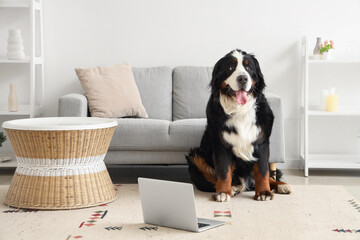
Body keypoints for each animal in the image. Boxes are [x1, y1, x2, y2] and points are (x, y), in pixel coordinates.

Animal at [187, 49, 292, 202]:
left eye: (249, 67)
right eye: (230, 68)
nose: (243, 78)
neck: (240, 110)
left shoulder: (261, 143)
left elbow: (263, 171)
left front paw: (264, 192)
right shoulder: (221, 143)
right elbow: (224, 171)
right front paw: (223, 192)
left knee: (269, 174)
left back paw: (281, 185)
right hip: (195, 156)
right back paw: (233, 188)